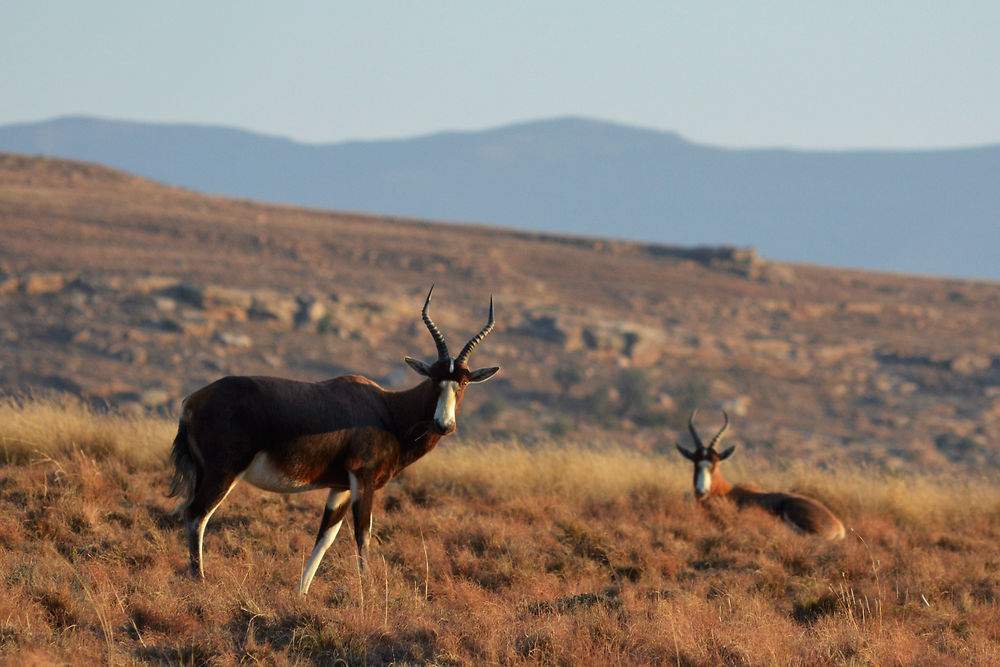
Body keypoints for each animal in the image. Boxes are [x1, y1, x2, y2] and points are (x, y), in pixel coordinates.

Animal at [169, 288, 504, 596]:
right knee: (196, 516)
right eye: (434, 378)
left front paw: (301, 593)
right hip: (223, 473)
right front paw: (369, 593)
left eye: (463, 381)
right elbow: (363, 534)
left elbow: (325, 537)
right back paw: (199, 582)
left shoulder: (340, 487)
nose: (444, 425)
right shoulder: (363, 480)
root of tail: (192, 401)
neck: (387, 409)